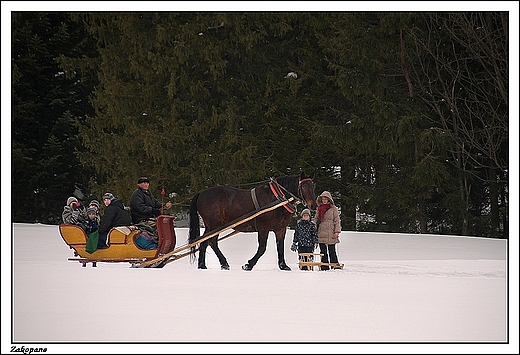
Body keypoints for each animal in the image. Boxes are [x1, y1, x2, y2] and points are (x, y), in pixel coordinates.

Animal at [188, 174, 316, 272]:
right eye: (304, 186)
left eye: (313, 185)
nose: (313, 205)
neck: (278, 198)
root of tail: (201, 193)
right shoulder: (263, 228)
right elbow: (262, 248)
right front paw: (248, 265)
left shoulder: (280, 229)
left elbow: (280, 247)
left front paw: (283, 266)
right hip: (216, 225)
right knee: (212, 241)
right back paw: (224, 263)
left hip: (210, 226)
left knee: (204, 242)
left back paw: (202, 265)